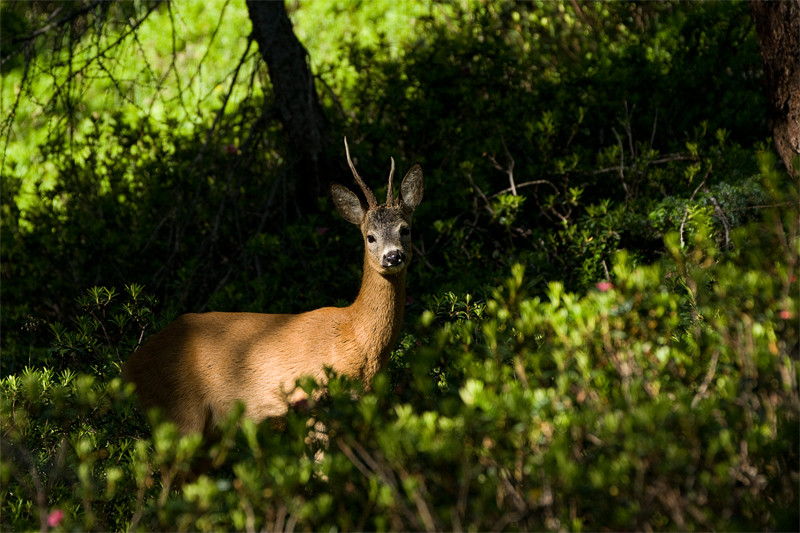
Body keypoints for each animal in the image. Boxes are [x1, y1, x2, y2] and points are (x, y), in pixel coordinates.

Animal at [122, 139, 422, 434]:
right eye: (370, 237)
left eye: (405, 229)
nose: (393, 256)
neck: (355, 336)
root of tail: (130, 366)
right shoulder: (314, 401)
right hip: (180, 411)